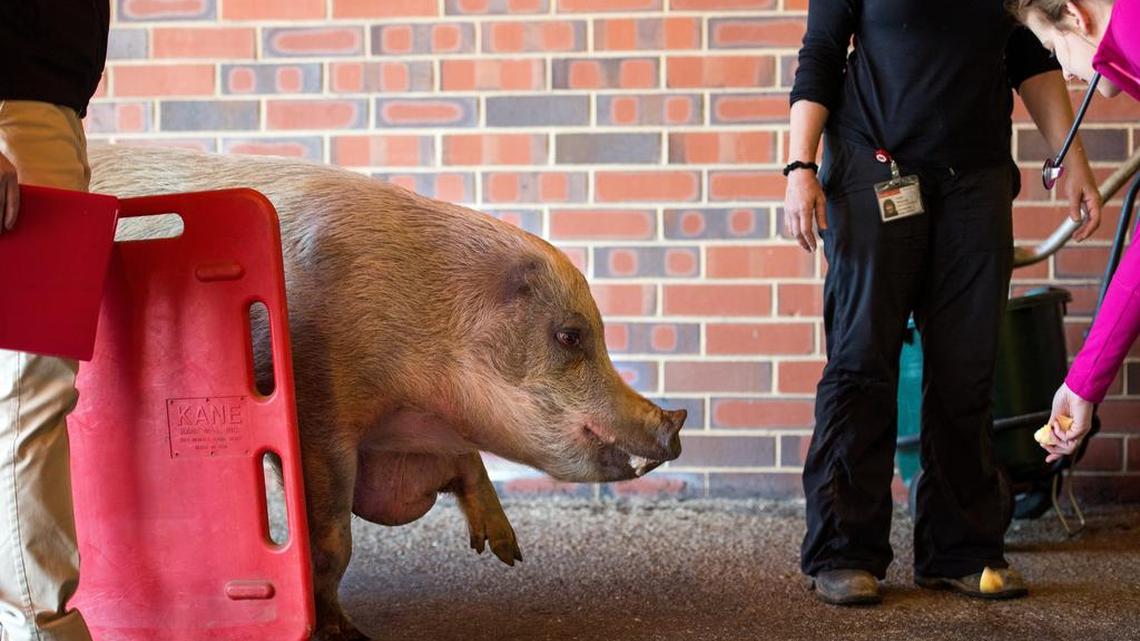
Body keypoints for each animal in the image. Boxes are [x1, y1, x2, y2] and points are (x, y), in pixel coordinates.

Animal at [87, 145, 686, 641]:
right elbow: (331, 539)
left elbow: (465, 461)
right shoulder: (317, 410)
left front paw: (506, 553)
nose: (675, 425)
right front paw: (347, 634)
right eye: (570, 336)